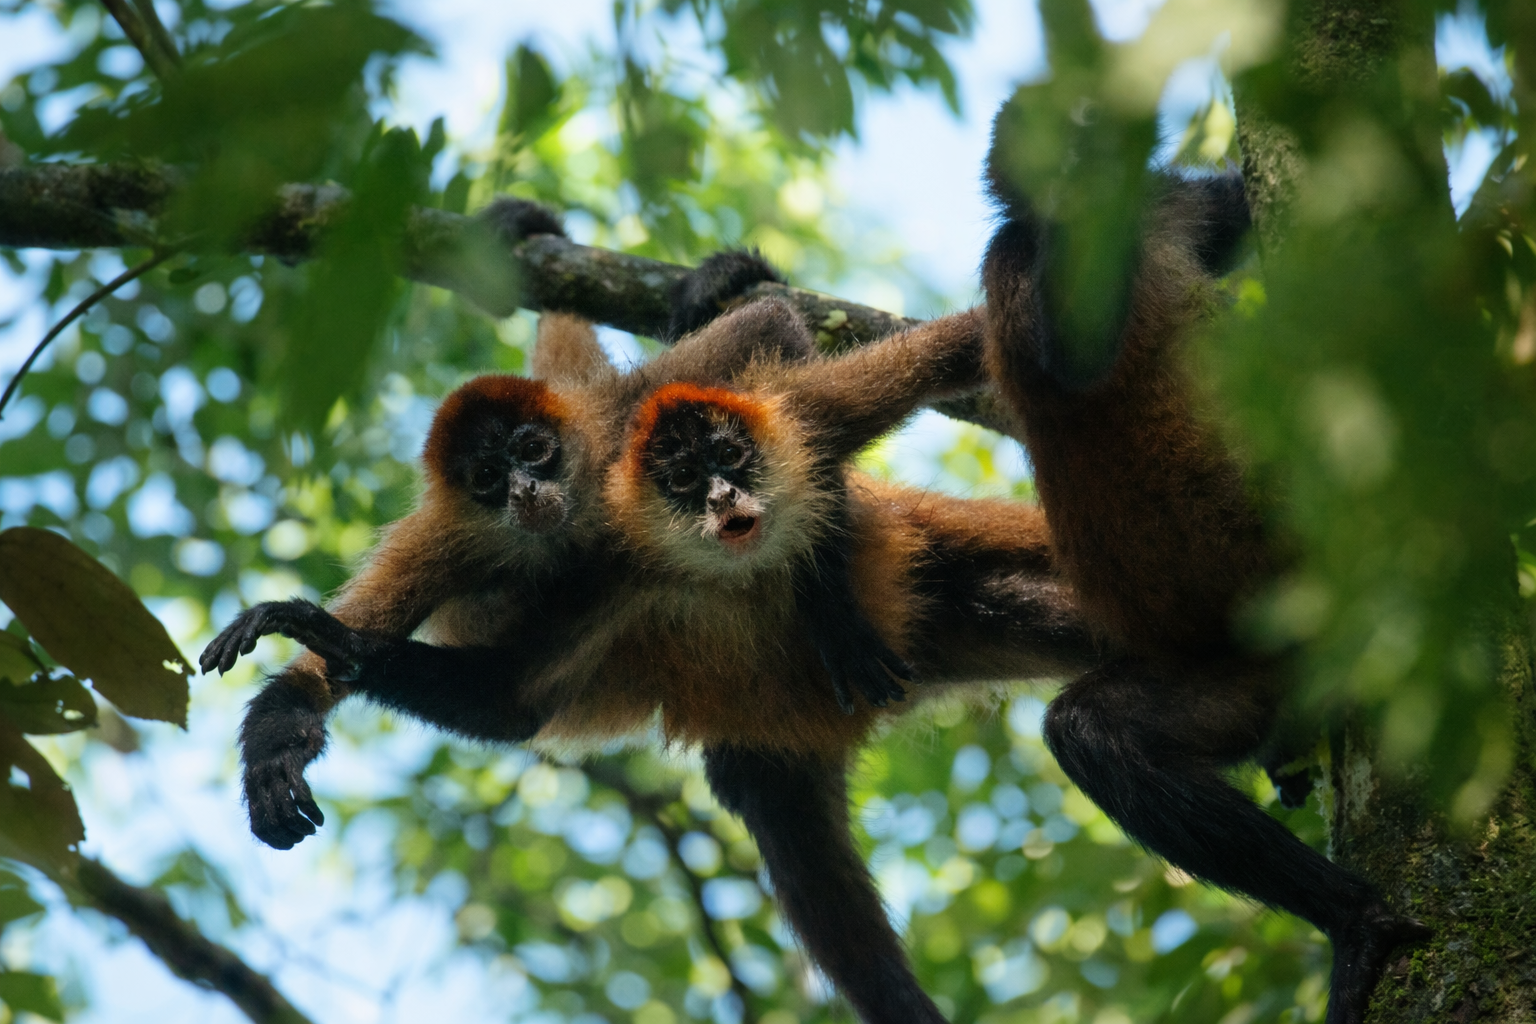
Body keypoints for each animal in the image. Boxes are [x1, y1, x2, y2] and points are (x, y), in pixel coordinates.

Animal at [980, 101, 1430, 1024]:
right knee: (1093, 733)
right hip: (1254, 657)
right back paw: (1355, 919)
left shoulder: (1163, 201)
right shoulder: (1015, 255)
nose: (1082, 143)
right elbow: (1073, 350)